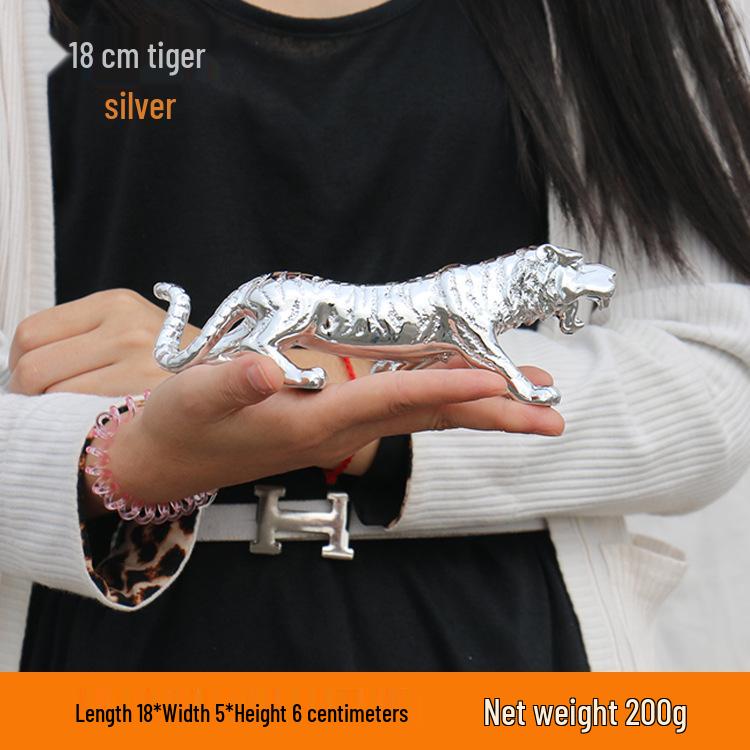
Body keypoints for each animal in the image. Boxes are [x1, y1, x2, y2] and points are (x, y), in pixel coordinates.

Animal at [153, 243, 616, 406]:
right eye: (577, 263)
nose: (612, 273)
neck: (508, 289)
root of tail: (260, 280)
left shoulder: (441, 345)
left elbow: (409, 360)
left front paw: (385, 371)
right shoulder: (474, 336)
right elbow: (506, 365)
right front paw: (536, 392)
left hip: (256, 321)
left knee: (225, 346)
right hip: (292, 315)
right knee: (259, 345)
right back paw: (306, 377)